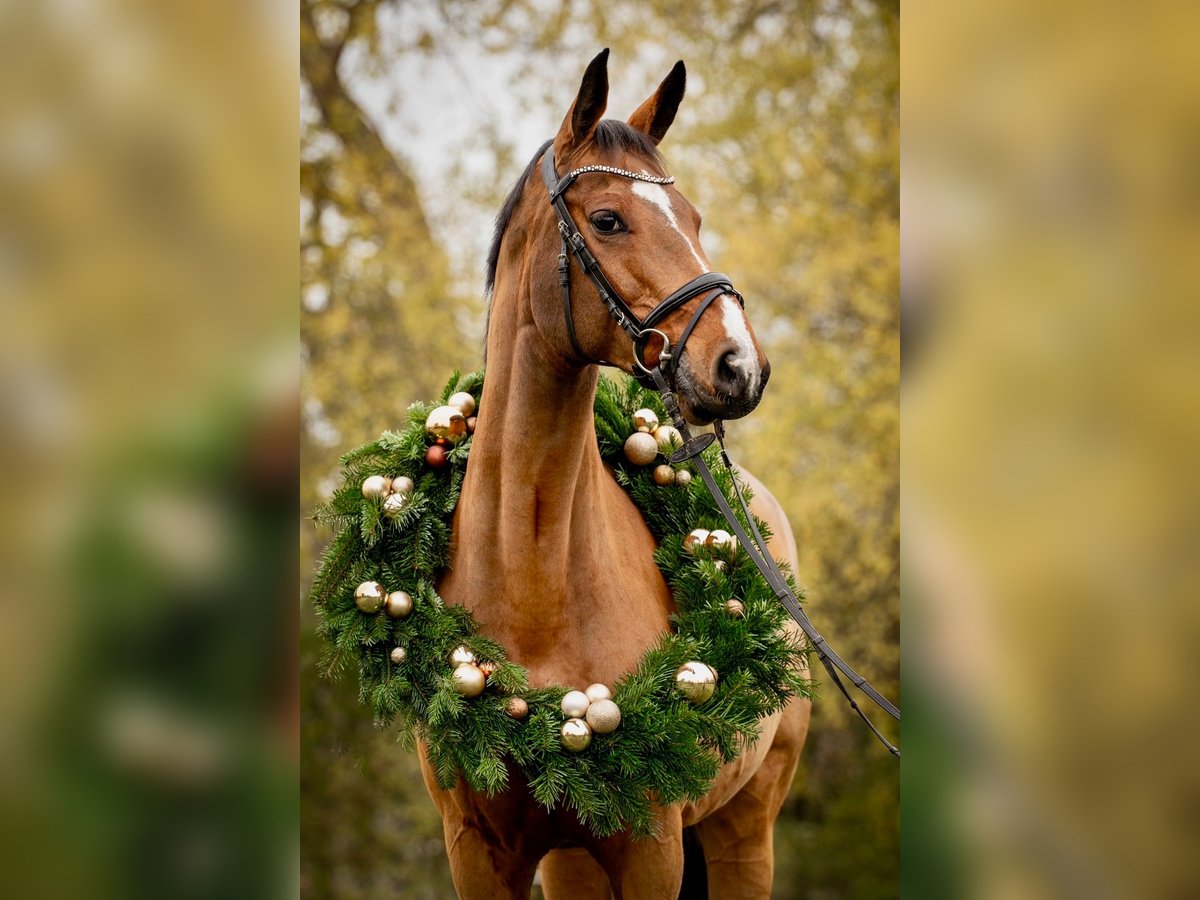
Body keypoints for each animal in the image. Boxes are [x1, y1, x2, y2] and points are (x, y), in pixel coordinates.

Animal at [424, 51, 816, 900]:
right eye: (608, 221)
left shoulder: (650, 848)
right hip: (573, 860)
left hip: (746, 829)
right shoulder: (478, 851)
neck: (533, 581)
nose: (740, 366)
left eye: (694, 219)